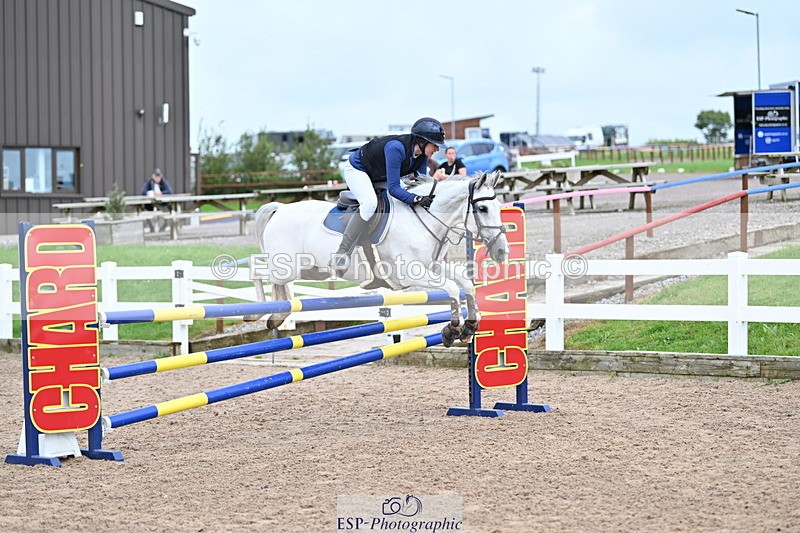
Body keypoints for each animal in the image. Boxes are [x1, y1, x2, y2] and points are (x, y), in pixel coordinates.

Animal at [245, 170, 509, 347]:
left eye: (499, 206)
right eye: (483, 209)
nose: (502, 252)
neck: (423, 218)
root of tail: (280, 209)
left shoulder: (433, 266)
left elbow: (465, 283)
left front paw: (470, 326)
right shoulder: (409, 274)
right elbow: (453, 288)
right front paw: (452, 329)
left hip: (309, 270)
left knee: (277, 284)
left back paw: (278, 315)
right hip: (286, 266)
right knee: (256, 269)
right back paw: (256, 314)